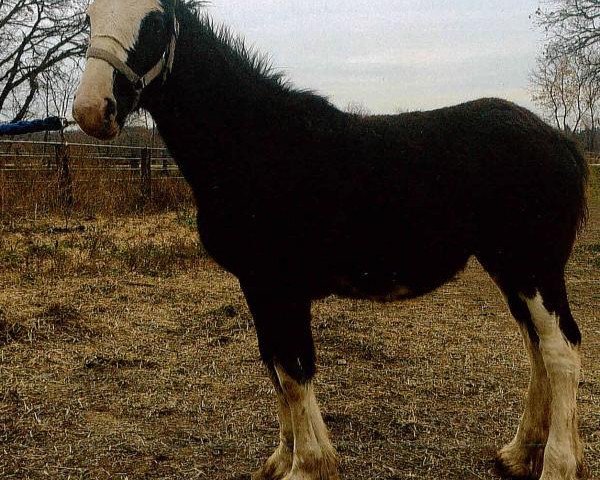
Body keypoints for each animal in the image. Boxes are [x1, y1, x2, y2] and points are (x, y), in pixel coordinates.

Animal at [72, 1, 588, 478]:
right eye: (89, 16)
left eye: (156, 20)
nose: (92, 110)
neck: (253, 144)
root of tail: (561, 142)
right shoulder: (258, 286)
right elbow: (275, 365)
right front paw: (283, 459)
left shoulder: (280, 287)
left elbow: (294, 371)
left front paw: (308, 465)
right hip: (507, 268)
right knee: (537, 350)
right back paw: (518, 454)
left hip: (534, 269)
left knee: (562, 353)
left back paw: (558, 465)